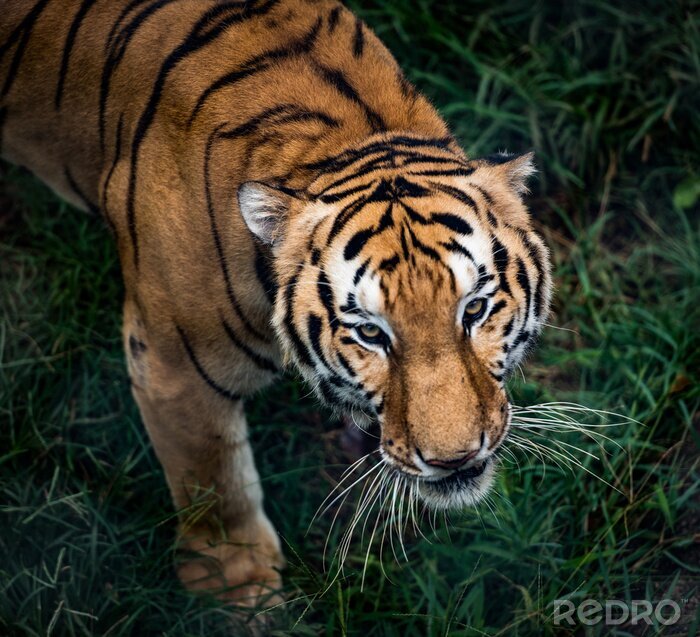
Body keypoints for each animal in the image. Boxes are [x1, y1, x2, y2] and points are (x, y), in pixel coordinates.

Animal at [0, 0, 552, 607]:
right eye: (371, 333)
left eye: (474, 310)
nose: (455, 459)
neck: (349, 137)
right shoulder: (172, 366)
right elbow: (213, 480)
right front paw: (237, 592)